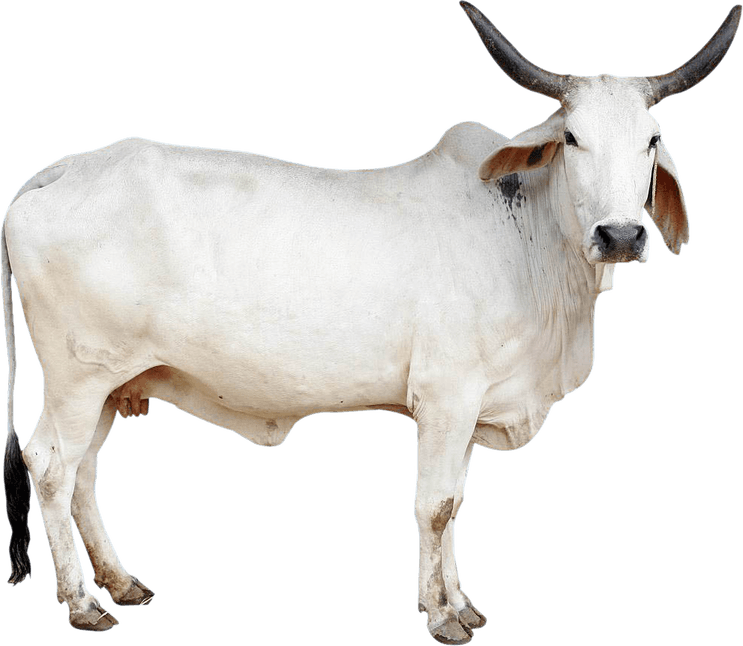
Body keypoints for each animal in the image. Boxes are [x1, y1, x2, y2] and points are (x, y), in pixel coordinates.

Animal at [1, 1, 740, 643]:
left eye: (651, 140)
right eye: (572, 137)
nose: (620, 235)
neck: (525, 237)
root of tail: (59, 172)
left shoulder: (470, 408)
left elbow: (454, 504)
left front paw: (459, 602)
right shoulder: (445, 396)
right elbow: (433, 506)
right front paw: (441, 616)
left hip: (112, 384)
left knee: (85, 472)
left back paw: (120, 582)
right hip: (77, 378)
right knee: (50, 466)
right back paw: (82, 603)